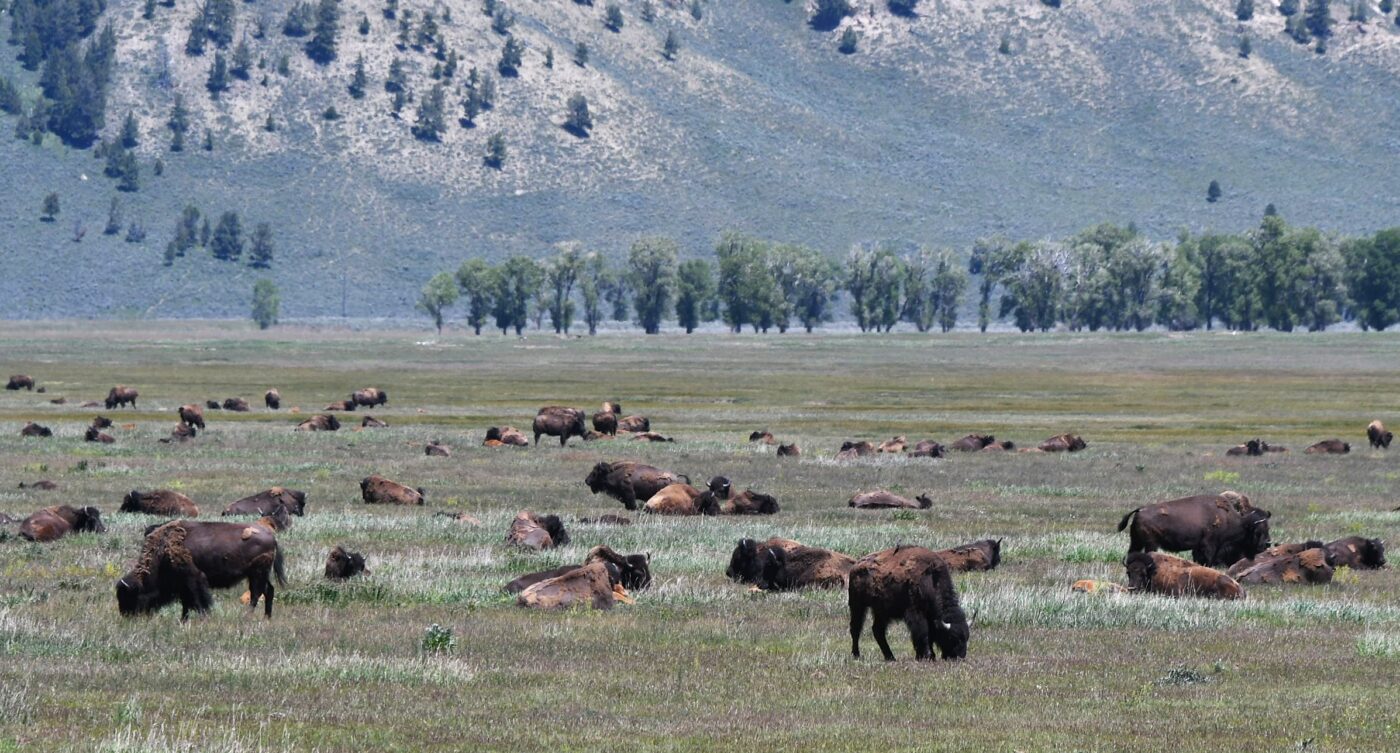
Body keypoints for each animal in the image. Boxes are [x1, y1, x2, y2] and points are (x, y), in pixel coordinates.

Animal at [116, 520, 285, 620]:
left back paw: (247, 616)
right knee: (268, 590)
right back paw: (266, 617)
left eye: (129, 596)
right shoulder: (183, 585)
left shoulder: (193, 579)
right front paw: (183, 620)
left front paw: (203, 617)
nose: (126, 615)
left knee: (256, 593)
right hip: (259, 574)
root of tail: (272, 537)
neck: (162, 551)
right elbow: (186, 603)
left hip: (257, 574)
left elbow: (198, 600)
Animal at [1117, 491, 1271, 566]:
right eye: (1258, 530)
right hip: (1151, 544)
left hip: (1136, 542)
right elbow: (1208, 561)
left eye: (1268, 526)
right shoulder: (1209, 546)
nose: (1267, 544)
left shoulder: (1198, 548)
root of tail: (1140, 510)